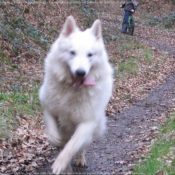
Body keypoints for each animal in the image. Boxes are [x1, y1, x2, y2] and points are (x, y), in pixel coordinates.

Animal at [39, 16, 113, 174]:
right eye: (72, 53)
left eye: (90, 55)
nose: (80, 72)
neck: (72, 91)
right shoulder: (49, 111)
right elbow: (54, 137)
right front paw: (59, 145)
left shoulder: (87, 124)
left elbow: (72, 146)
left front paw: (60, 163)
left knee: (80, 146)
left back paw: (79, 160)